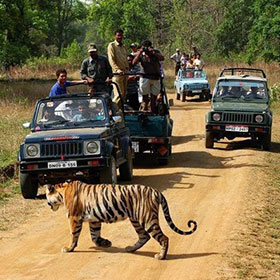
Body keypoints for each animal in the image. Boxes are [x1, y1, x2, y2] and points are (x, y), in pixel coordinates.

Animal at [45, 180, 197, 260]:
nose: (49, 206)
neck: (62, 192)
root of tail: (156, 191)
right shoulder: (94, 220)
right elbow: (94, 236)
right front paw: (105, 243)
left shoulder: (74, 218)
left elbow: (74, 235)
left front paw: (68, 248)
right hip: (136, 219)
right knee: (144, 236)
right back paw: (130, 248)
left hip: (148, 219)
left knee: (164, 238)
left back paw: (160, 256)